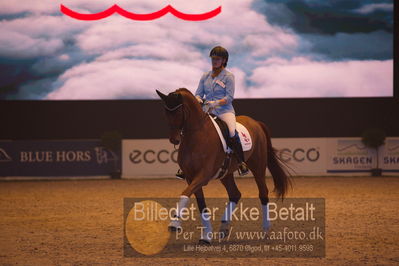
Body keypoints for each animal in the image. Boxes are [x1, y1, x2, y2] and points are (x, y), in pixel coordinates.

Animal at [155, 88, 290, 244]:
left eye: (178, 112)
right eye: (166, 113)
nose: (174, 139)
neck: (196, 135)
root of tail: (256, 122)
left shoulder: (203, 175)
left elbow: (185, 194)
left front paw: (174, 223)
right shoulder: (190, 177)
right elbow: (201, 204)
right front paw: (206, 236)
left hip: (258, 166)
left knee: (263, 193)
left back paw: (266, 230)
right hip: (226, 173)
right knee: (235, 194)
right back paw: (224, 227)